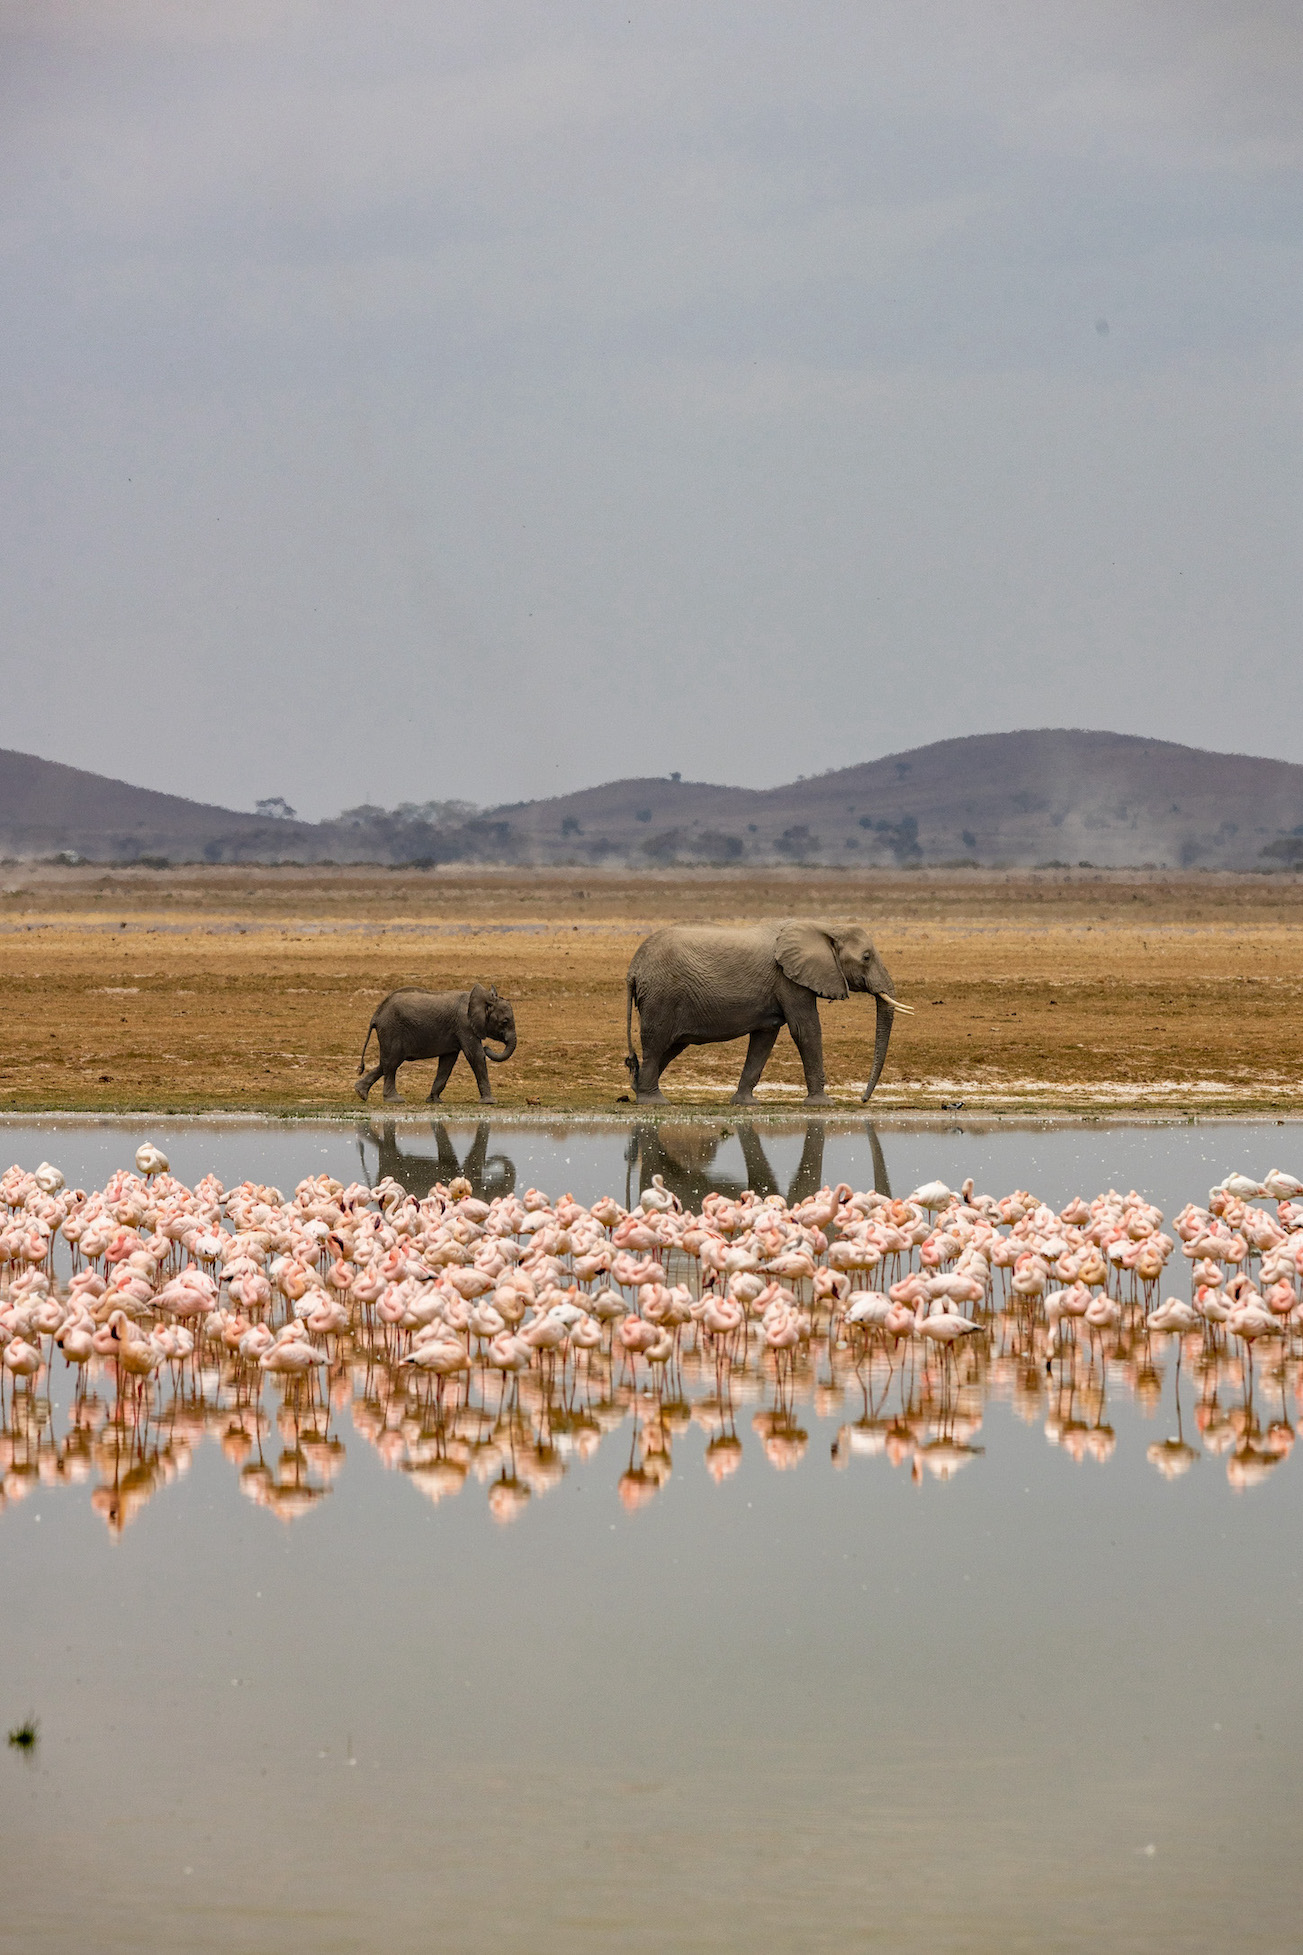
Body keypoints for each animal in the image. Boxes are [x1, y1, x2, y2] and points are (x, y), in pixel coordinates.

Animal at [358, 985, 520, 1110]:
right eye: (505, 1022)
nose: (488, 1047)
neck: (484, 997)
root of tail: (376, 1015)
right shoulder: (465, 1025)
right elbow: (476, 1055)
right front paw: (490, 1102)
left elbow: (447, 1062)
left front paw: (434, 1100)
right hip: (392, 1030)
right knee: (392, 1062)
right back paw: (394, 1100)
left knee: (386, 1062)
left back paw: (361, 1093)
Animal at [618, 922, 903, 1110]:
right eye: (866, 957)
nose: (863, 1099)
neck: (827, 926)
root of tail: (633, 969)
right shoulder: (789, 980)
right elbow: (806, 1030)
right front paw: (822, 1104)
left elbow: (765, 1038)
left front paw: (745, 1103)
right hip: (661, 996)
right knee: (656, 1044)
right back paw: (654, 1101)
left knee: (670, 1046)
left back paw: (638, 1089)